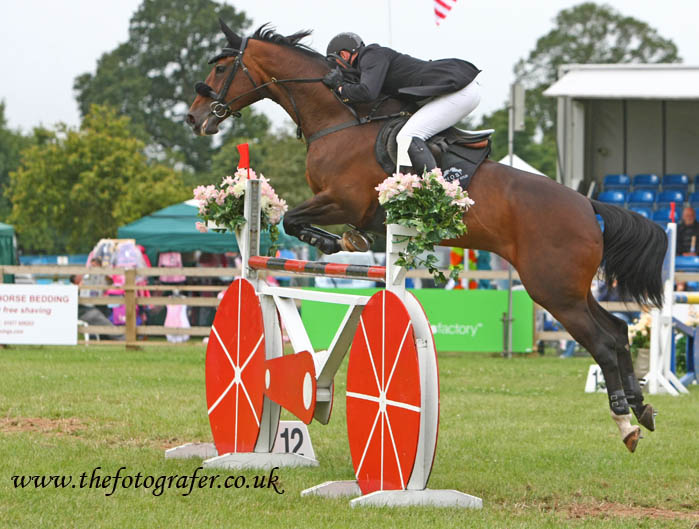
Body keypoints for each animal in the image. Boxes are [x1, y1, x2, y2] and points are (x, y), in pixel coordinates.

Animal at [187, 20, 668, 450]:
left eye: (220, 68)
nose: (194, 119)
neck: (338, 120)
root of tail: (588, 206)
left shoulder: (344, 201)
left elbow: (293, 220)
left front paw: (339, 243)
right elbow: (294, 222)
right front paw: (347, 242)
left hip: (553, 291)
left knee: (602, 342)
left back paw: (626, 423)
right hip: (569, 288)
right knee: (618, 331)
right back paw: (642, 407)